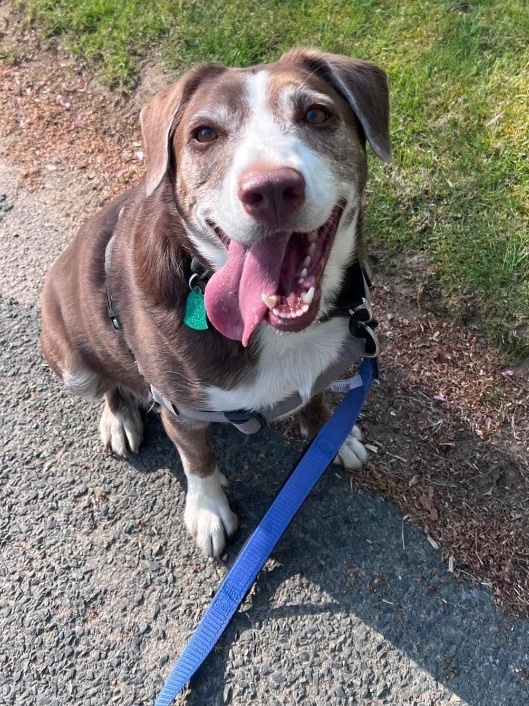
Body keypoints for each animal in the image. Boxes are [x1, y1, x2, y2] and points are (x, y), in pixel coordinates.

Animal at [40, 48, 388, 556]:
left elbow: (317, 405)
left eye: (316, 114)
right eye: (204, 133)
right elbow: (197, 456)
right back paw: (119, 419)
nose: (271, 189)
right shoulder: (178, 408)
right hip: (73, 365)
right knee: (109, 383)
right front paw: (208, 510)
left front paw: (334, 438)